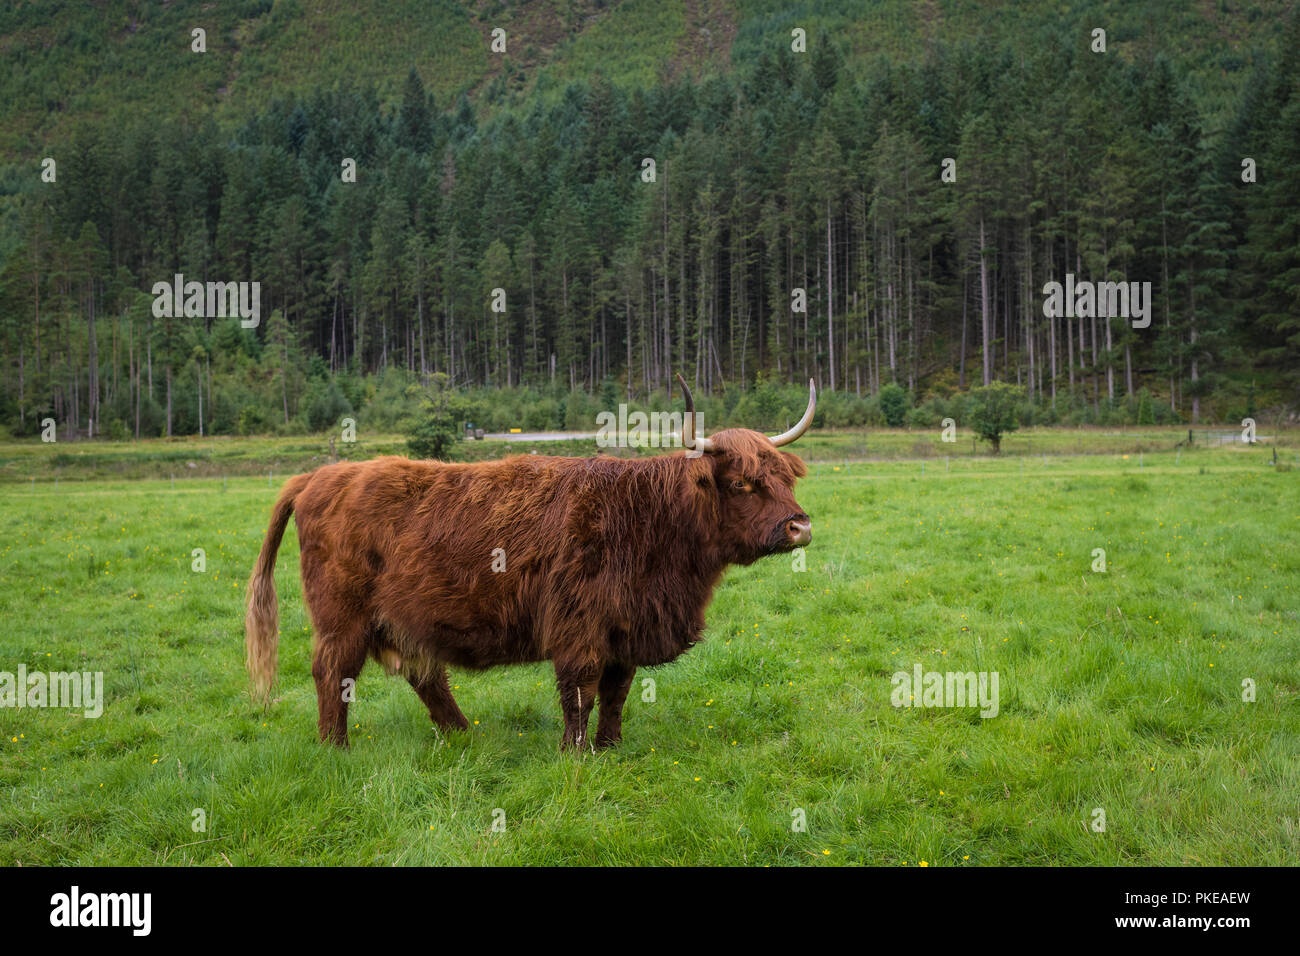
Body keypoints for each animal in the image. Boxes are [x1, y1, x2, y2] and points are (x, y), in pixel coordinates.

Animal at [245, 374, 811, 749]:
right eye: (741, 483)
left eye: (785, 477)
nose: (800, 526)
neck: (650, 521)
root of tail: (321, 475)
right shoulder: (578, 625)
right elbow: (580, 690)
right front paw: (575, 753)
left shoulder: (626, 625)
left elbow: (617, 691)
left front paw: (610, 747)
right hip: (342, 617)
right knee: (333, 672)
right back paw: (334, 747)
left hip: (402, 616)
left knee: (424, 674)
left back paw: (462, 735)